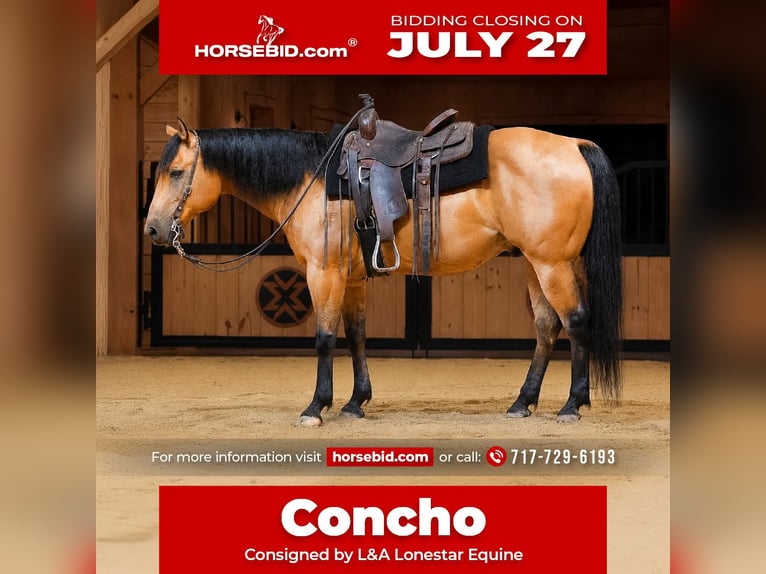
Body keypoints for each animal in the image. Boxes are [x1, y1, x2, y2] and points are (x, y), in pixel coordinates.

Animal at [144, 114, 623, 426]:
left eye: (176, 172)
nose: (152, 229)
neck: (313, 179)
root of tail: (574, 145)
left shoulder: (323, 274)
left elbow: (324, 338)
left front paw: (316, 407)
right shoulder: (352, 278)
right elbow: (356, 336)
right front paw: (356, 402)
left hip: (552, 264)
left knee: (576, 322)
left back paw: (571, 405)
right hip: (534, 264)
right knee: (546, 327)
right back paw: (523, 403)